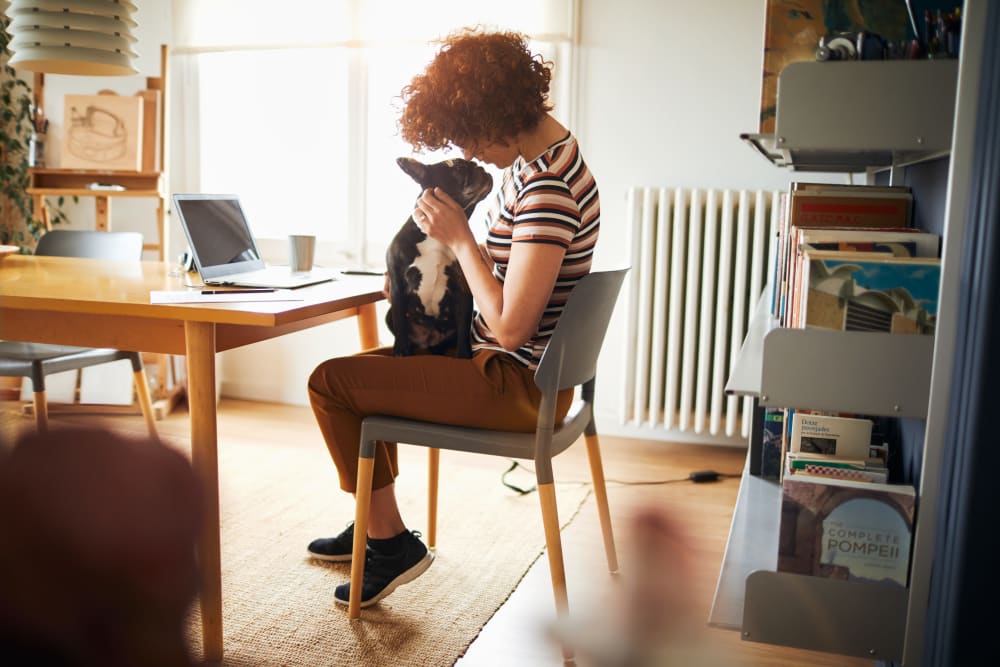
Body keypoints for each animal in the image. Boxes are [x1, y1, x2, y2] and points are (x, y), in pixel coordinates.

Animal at [384, 157, 494, 358]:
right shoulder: (397, 286)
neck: (437, 237)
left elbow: (464, 328)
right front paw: (401, 351)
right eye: (458, 168)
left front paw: (464, 355)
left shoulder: (463, 290)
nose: (480, 167)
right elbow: (400, 322)